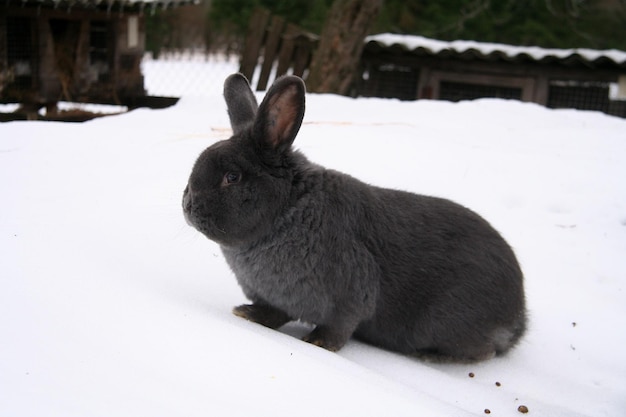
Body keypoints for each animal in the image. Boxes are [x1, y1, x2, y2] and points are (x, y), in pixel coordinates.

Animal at [183, 73, 524, 360]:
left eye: (232, 177)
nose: (187, 205)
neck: (288, 211)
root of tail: (519, 317)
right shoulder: (275, 298)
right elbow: (274, 314)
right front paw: (246, 313)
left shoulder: (352, 294)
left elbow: (339, 327)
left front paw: (317, 342)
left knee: (484, 352)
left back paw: (432, 356)